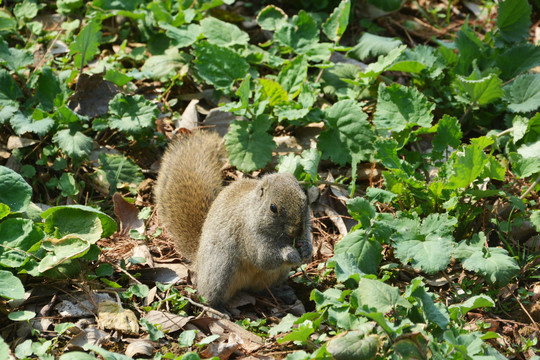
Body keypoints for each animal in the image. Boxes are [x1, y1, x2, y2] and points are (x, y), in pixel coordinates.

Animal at [153, 131, 312, 310]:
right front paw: (290, 254)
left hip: (276, 274)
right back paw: (219, 309)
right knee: (208, 295)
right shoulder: (248, 234)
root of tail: (198, 262)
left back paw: (280, 292)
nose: (296, 231)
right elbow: (263, 257)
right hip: (221, 271)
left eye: (306, 199)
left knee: (261, 289)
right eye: (273, 208)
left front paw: (306, 249)